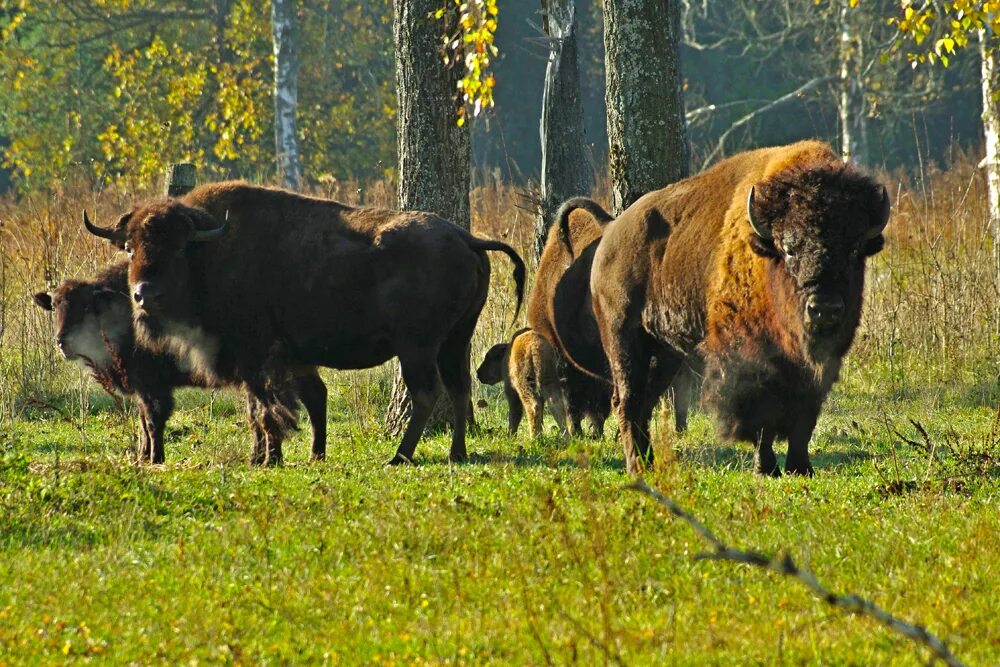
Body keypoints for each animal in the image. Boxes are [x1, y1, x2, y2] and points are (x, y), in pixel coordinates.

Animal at [32, 260, 324, 464]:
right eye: (55, 305)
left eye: (85, 307)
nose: (62, 342)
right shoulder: (141, 388)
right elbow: (143, 422)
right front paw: (144, 456)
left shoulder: (151, 385)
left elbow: (153, 421)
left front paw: (155, 458)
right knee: (313, 395)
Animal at [84, 180, 524, 468]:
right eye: (130, 247)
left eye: (178, 249)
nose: (144, 295)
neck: (210, 249)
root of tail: (466, 238)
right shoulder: (277, 359)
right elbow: (283, 404)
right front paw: (288, 455)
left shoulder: (255, 355)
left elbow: (266, 408)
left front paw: (268, 459)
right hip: (455, 340)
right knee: (459, 387)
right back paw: (456, 453)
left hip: (417, 347)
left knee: (427, 393)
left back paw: (398, 457)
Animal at [588, 141, 888, 474]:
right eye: (788, 249)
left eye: (854, 250)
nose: (824, 308)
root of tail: (611, 235)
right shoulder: (750, 359)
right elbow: (761, 419)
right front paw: (766, 468)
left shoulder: (817, 368)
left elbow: (804, 419)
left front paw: (800, 468)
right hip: (622, 338)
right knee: (626, 401)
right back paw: (636, 466)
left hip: (663, 354)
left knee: (644, 402)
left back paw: (648, 463)